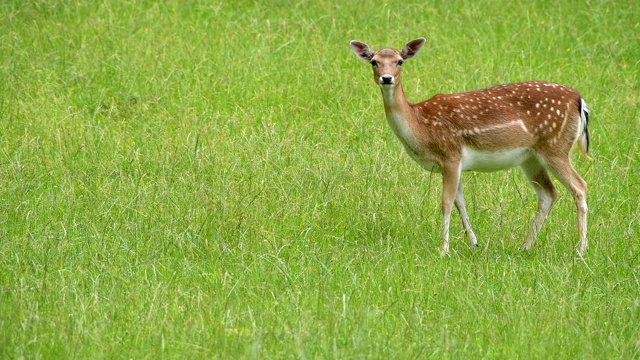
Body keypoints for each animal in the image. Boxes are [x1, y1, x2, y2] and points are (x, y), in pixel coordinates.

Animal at [350, 38, 592, 256]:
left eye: (400, 61)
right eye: (374, 61)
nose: (386, 78)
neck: (420, 125)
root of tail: (579, 100)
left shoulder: (450, 155)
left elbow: (446, 202)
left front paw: (444, 250)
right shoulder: (455, 164)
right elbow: (460, 202)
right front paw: (474, 243)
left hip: (555, 147)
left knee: (580, 186)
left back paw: (580, 249)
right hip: (531, 158)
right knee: (548, 193)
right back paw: (525, 246)